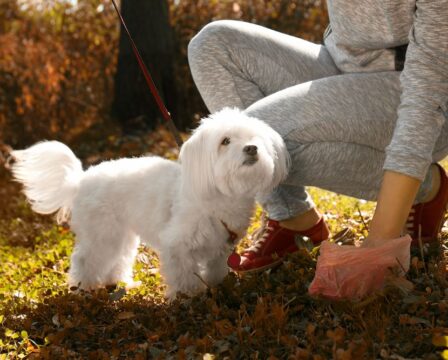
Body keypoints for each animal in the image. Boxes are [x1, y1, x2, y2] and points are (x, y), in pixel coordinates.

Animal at [12, 107, 290, 298]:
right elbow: (183, 274)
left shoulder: (220, 248)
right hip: (101, 234)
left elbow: (215, 269)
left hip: (121, 235)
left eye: (255, 138)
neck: (219, 196)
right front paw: (188, 296)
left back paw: (120, 283)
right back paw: (83, 288)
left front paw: (216, 286)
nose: (252, 148)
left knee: (118, 259)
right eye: (225, 141)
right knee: (85, 259)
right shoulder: (177, 245)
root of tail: (81, 179)